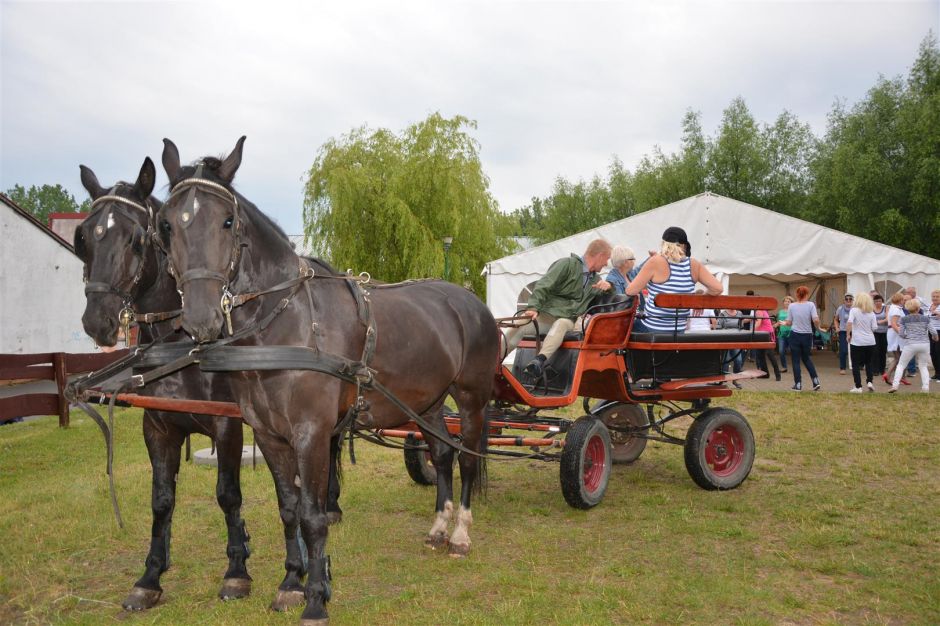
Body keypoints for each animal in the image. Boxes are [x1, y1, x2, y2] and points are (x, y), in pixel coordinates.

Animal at [74, 157, 334, 612]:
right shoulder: (158, 427)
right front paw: (150, 576)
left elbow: (228, 494)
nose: (97, 321)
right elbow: (161, 500)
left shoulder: (227, 425)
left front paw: (237, 571)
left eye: (137, 240)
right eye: (84, 237)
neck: (182, 345)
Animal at [155, 136, 499, 624]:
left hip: (471, 399)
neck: (286, 324)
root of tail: (467, 299)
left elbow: (314, 516)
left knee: (467, 460)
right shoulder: (269, 435)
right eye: (166, 225)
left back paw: (460, 534)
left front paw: (316, 598)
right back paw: (438, 527)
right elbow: (288, 510)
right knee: (442, 455)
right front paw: (289, 584)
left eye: (227, 220)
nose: (200, 319)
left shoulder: (312, 434)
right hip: (428, 404)